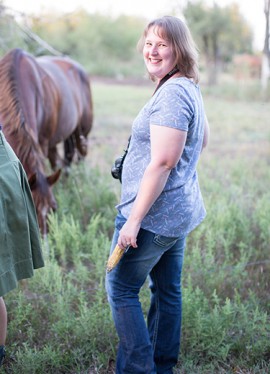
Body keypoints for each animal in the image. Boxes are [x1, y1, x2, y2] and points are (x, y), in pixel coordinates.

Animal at [0, 48, 94, 235]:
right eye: (30, 210)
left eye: (54, 209)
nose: (42, 238)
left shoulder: (41, 143)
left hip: (82, 134)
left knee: (77, 160)